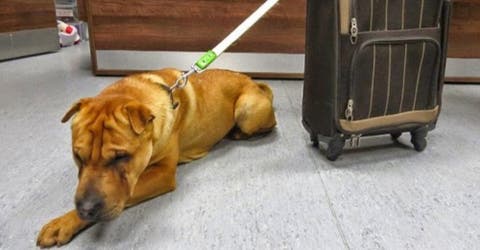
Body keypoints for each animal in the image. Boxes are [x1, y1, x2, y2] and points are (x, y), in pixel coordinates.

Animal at [36, 69, 278, 248]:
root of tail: (254, 82)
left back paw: (238, 133)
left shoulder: (162, 173)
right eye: (77, 155)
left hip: (247, 109)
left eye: (121, 157)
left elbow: (126, 194)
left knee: (269, 125)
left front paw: (64, 222)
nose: (86, 209)